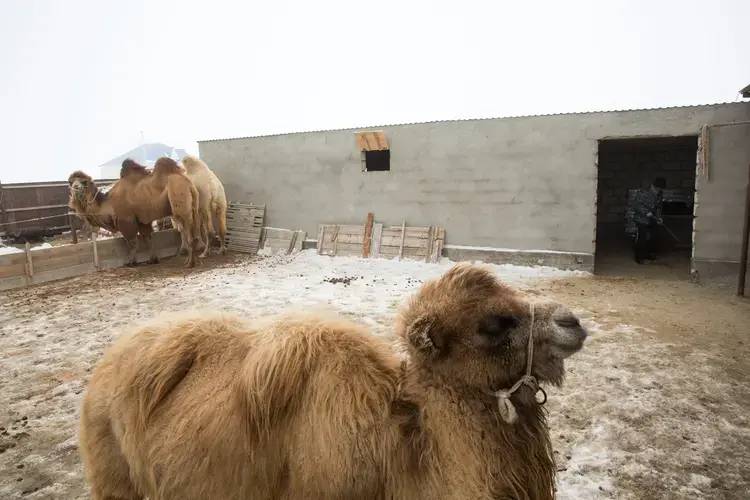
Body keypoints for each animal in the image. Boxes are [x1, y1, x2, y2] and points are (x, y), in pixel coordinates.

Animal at [68, 157, 201, 268]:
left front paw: (131, 262)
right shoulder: (142, 220)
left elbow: (132, 243)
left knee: (189, 233)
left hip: (180, 200)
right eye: (70, 182)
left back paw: (190, 263)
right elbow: (147, 238)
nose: (75, 187)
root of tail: (188, 183)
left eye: (84, 182)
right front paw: (152, 259)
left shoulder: (125, 220)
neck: (108, 203)